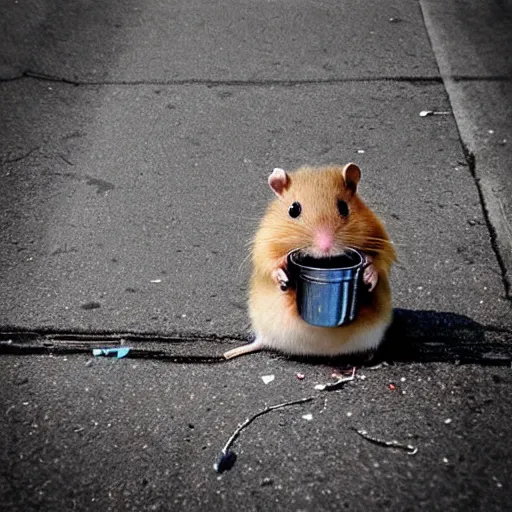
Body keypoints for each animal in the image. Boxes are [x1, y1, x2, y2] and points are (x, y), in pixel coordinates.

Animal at [224, 164, 396, 360]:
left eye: (344, 207)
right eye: (293, 209)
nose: (325, 247)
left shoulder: (381, 240)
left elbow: (379, 263)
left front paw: (369, 277)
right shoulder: (264, 244)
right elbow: (271, 263)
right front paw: (282, 277)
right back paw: (229, 353)